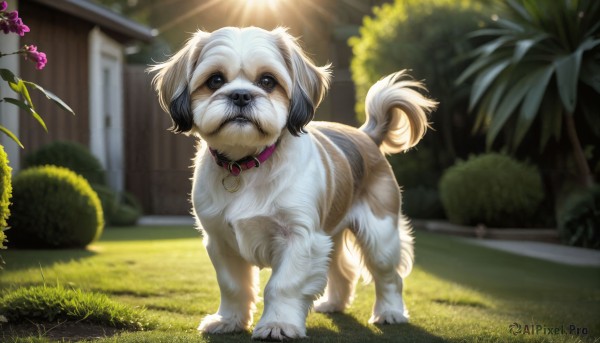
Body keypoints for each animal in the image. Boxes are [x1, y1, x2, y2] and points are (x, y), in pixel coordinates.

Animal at [150, 26, 436, 342]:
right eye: (215, 80)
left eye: (267, 81)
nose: (240, 95)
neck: (248, 162)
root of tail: (365, 135)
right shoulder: (220, 240)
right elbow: (233, 286)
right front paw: (229, 320)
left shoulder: (300, 238)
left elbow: (281, 286)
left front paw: (278, 324)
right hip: (333, 235)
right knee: (342, 270)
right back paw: (334, 304)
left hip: (379, 235)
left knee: (388, 276)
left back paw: (390, 312)